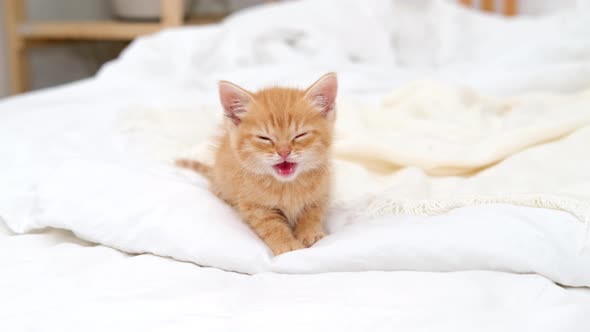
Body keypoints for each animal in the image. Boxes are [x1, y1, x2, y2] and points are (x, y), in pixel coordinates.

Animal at [177, 72, 338, 254]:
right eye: (264, 138)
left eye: (300, 135)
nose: (284, 152)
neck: (287, 186)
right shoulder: (255, 206)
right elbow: (272, 226)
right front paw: (287, 245)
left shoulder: (322, 192)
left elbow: (312, 213)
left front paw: (310, 232)